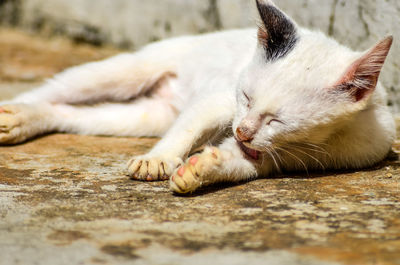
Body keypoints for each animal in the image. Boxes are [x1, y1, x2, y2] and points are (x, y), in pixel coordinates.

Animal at [0, 1, 394, 193]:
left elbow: (248, 164)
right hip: (127, 69)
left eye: (277, 120)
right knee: (55, 89)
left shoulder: (289, 157)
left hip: (145, 116)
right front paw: (158, 160)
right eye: (246, 96)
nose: (243, 131)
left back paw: (27, 121)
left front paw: (202, 170)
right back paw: (16, 113)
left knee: (70, 113)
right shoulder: (220, 100)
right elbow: (190, 126)